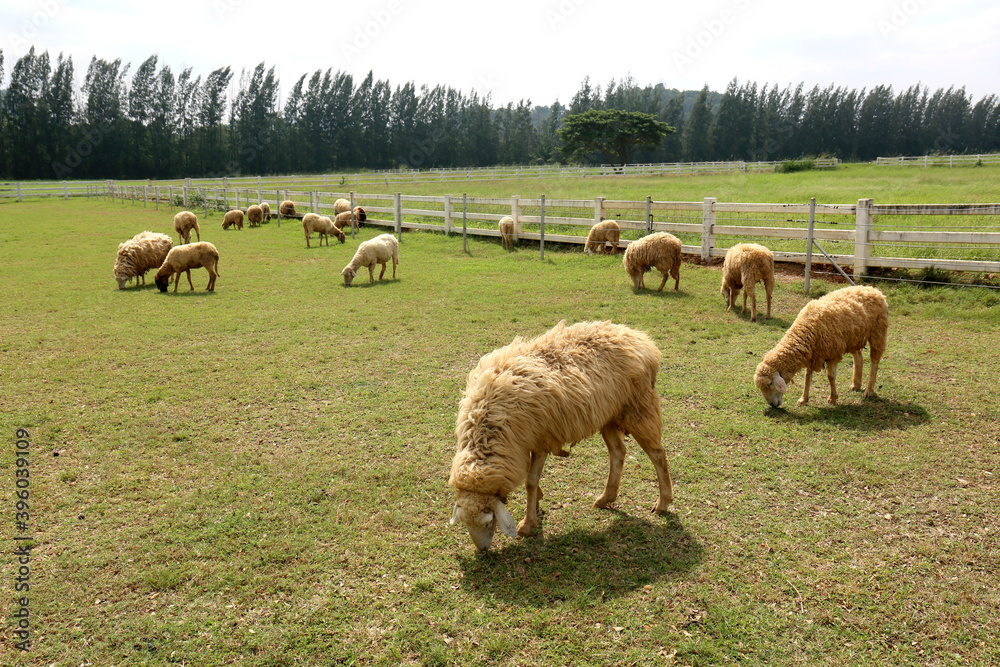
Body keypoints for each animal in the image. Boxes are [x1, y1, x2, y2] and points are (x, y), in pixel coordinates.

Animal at [449, 320, 674, 551]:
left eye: (488, 522)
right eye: (465, 524)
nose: (483, 550)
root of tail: (639, 337)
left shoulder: (540, 439)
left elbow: (530, 481)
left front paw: (528, 524)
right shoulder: (524, 445)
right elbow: (531, 478)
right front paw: (537, 501)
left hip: (638, 408)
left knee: (658, 454)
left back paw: (662, 503)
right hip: (608, 415)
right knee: (618, 452)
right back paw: (606, 498)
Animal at [754, 285, 888, 408]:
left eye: (769, 383)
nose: (772, 405)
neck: (805, 329)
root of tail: (873, 289)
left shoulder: (833, 353)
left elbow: (831, 376)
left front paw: (833, 398)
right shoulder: (812, 354)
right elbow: (807, 377)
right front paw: (803, 399)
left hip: (878, 332)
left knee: (874, 362)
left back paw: (869, 391)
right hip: (853, 337)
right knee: (858, 357)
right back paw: (856, 384)